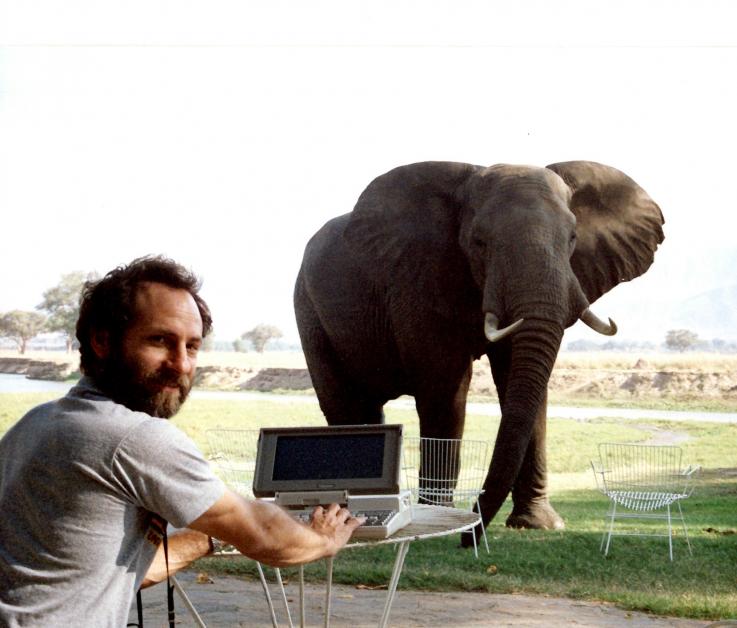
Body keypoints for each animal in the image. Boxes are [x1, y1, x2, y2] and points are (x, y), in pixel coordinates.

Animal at [294, 159, 668, 536]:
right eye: (479, 242)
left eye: (573, 238)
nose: (471, 534)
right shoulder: (420, 280)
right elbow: (445, 387)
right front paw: (441, 518)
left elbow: (523, 384)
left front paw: (538, 524)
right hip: (308, 308)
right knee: (344, 406)